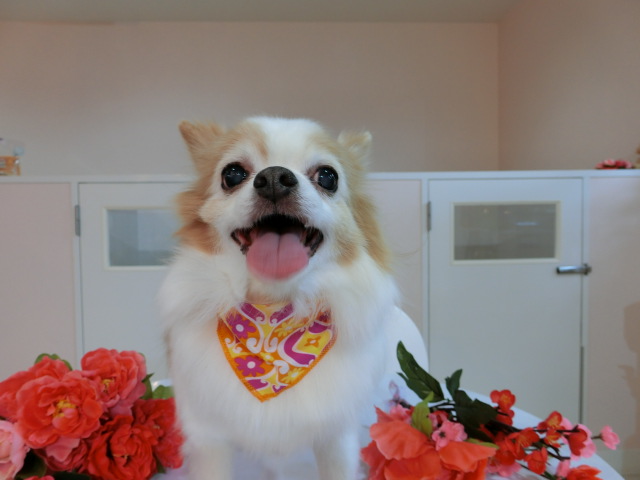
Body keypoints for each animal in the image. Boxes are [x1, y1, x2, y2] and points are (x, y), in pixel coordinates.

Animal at [159, 116, 417, 480]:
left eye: (328, 176)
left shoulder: (336, 436)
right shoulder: (208, 438)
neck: (273, 313)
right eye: (232, 174)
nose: (274, 178)